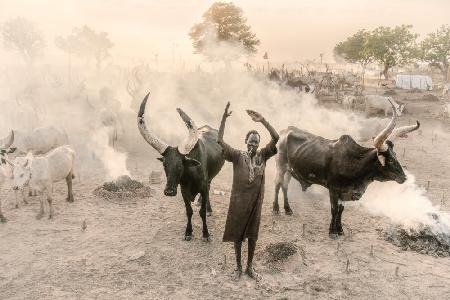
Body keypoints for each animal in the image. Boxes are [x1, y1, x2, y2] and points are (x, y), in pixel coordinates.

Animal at [135, 92, 223, 240]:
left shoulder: (203, 188)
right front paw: (188, 232)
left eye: (180, 165)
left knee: (209, 190)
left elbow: (201, 212)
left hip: (210, 179)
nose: (169, 191)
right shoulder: (183, 191)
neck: (191, 174)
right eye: (164, 165)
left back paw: (208, 209)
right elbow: (189, 211)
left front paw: (205, 234)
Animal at [272, 99, 420, 238]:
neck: (354, 163)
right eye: (389, 159)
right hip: (280, 166)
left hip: (290, 171)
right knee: (278, 184)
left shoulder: (345, 191)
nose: (404, 177)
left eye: (395, 156)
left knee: (285, 186)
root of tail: (285, 130)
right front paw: (332, 232)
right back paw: (275, 209)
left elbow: (341, 210)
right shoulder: (333, 189)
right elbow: (334, 209)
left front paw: (340, 230)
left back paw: (288, 209)